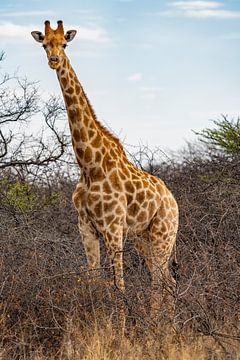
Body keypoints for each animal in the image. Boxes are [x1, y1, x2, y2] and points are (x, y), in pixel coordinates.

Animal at [31, 21, 178, 320]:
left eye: (64, 44)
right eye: (44, 44)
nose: (54, 60)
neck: (89, 164)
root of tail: (173, 201)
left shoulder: (112, 227)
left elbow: (118, 285)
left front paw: (119, 327)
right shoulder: (85, 227)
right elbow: (94, 280)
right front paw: (99, 323)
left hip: (163, 233)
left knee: (160, 280)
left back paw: (157, 323)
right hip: (143, 237)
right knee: (167, 280)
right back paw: (170, 324)